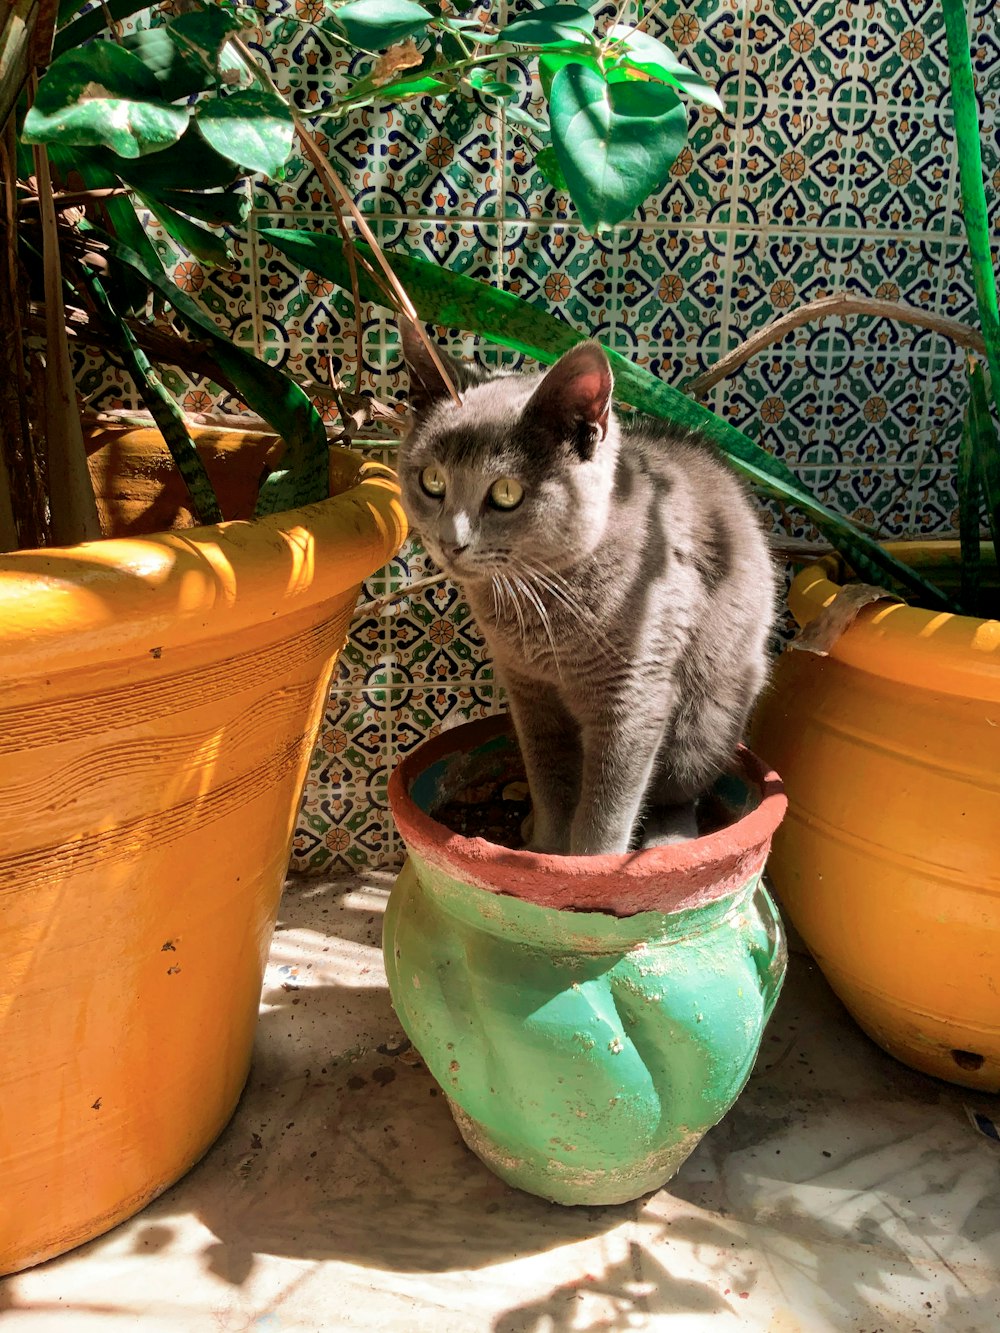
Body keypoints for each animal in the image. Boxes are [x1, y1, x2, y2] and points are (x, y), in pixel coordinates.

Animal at [397, 327, 773, 858]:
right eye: (432, 481)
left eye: (506, 493)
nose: (452, 542)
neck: (543, 601)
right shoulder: (528, 692)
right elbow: (550, 781)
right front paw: (543, 852)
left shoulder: (633, 696)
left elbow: (606, 807)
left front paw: (588, 866)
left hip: (707, 715)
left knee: (679, 793)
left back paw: (667, 842)